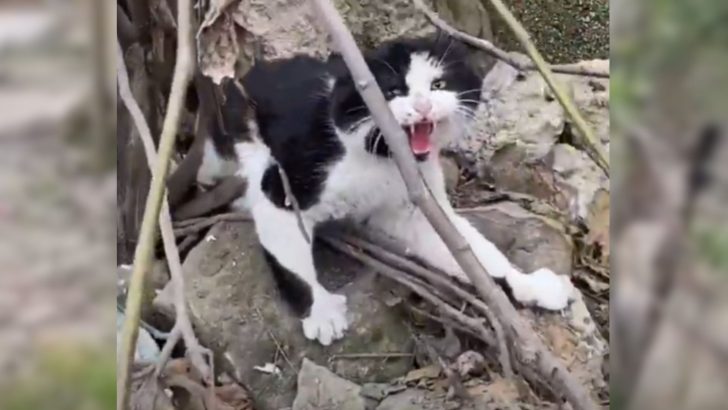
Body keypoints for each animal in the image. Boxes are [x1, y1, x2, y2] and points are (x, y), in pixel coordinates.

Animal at [198, 35, 576, 346]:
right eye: (392, 91)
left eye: (438, 84)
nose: (423, 106)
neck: (380, 159)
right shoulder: (284, 187)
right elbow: (289, 255)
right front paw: (321, 310)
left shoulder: (413, 208)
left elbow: (475, 256)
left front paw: (528, 284)